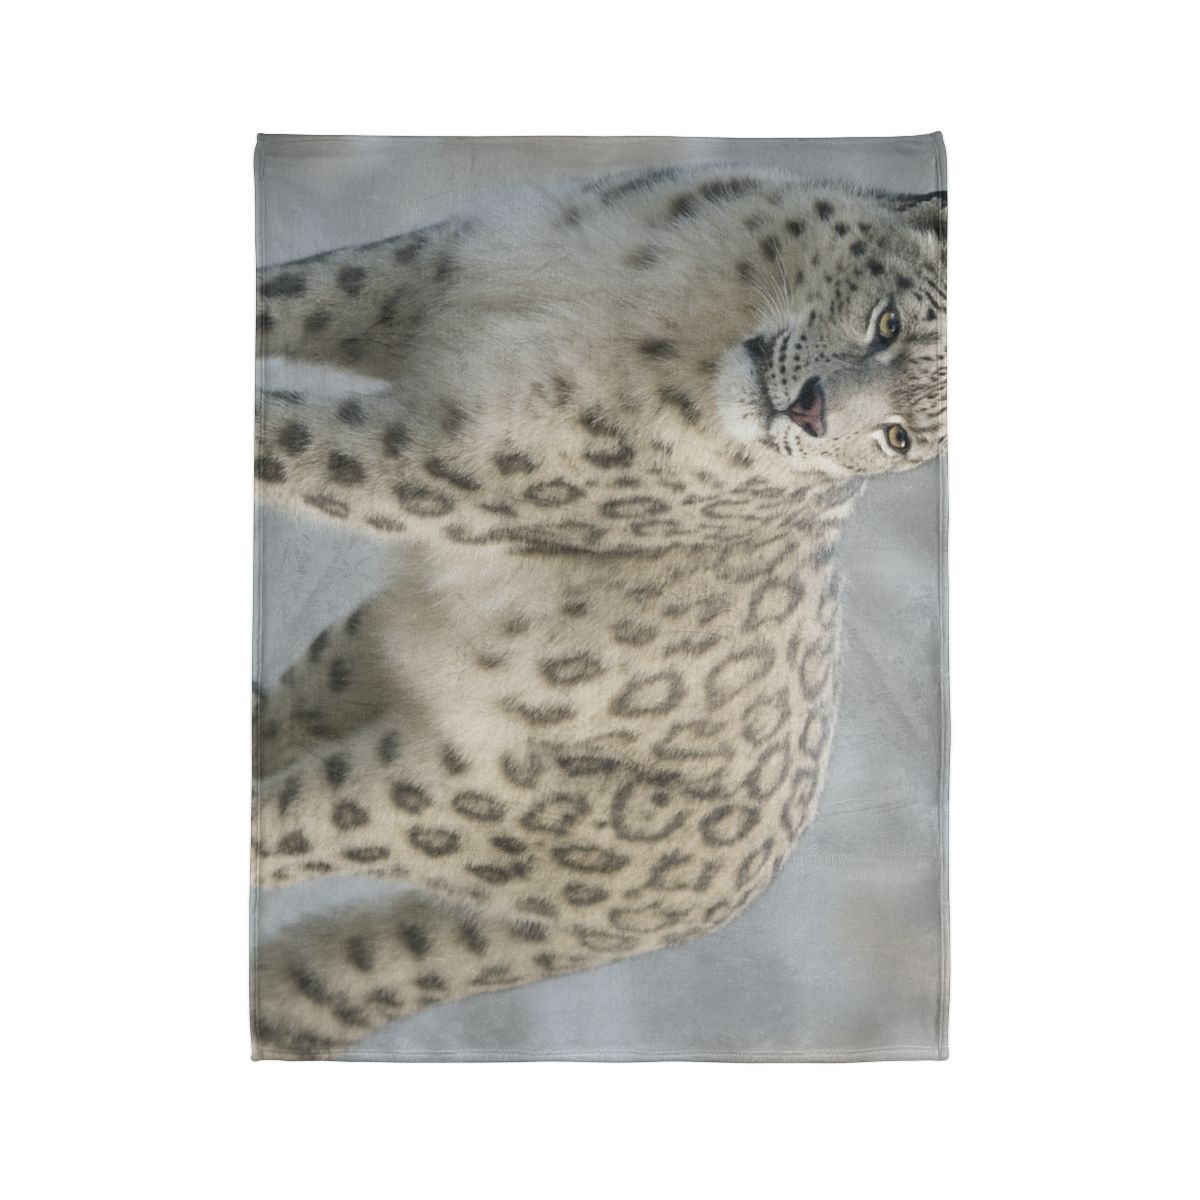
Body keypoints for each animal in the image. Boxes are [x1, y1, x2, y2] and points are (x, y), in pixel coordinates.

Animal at [251, 164, 947, 1058]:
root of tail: (724, 902)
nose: (810, 410)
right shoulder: (425, 271)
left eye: (897, 437)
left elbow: (291, 441)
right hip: (360, 652)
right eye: (888, 321)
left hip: (438, 801)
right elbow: (290, 293)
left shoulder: (444, 461)